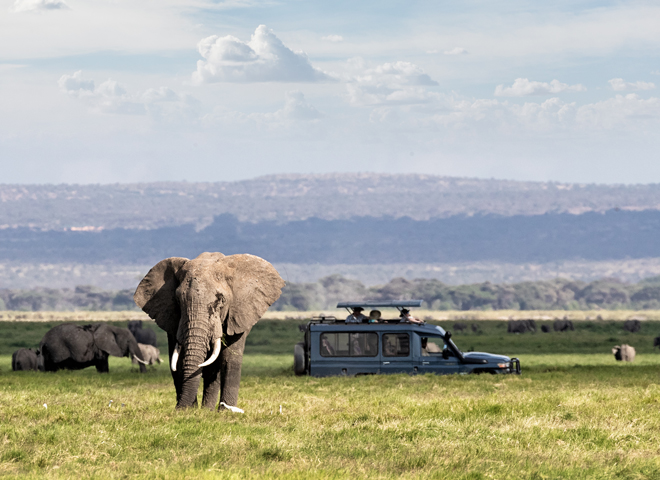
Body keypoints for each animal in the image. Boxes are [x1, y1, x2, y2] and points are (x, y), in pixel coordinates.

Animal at [133, 252, 284, 411]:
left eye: (221, 300)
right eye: (178, 300)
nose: (179, 408)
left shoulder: (239, 315)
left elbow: (229, 359)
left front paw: (225, 412)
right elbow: (178, 360)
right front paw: (187, 410)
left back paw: (208, 410)